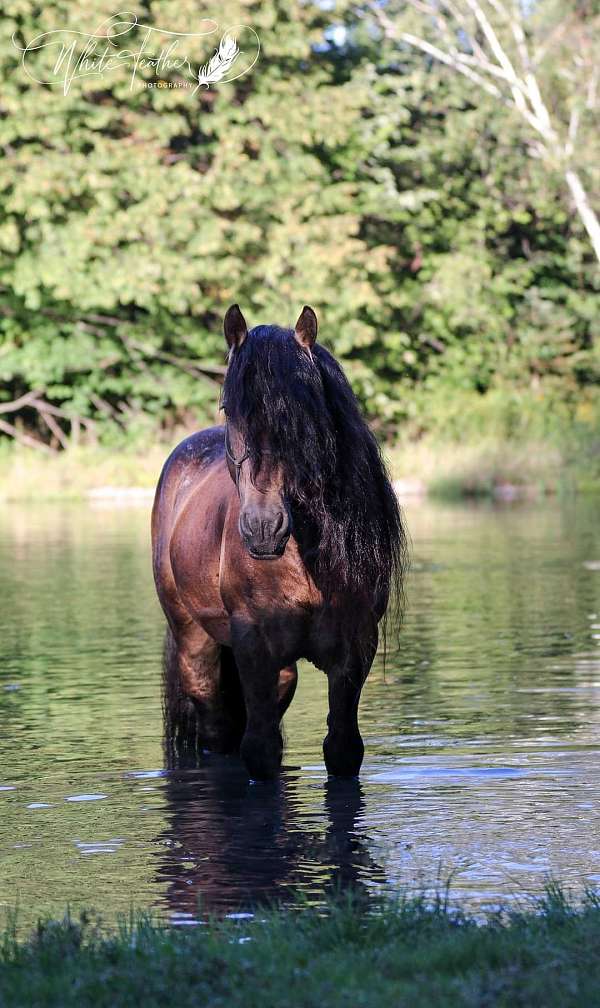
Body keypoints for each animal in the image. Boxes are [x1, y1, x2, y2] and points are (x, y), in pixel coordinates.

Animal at [151, 304, 409, 778]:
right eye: (228, 407)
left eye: (303, 411)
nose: (262, 527)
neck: (306, 562)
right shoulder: (253, 646)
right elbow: (260, 751)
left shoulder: (355, 649)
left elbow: (342, 748)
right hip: (195, 642)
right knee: (216, 728)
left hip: (283, 673)